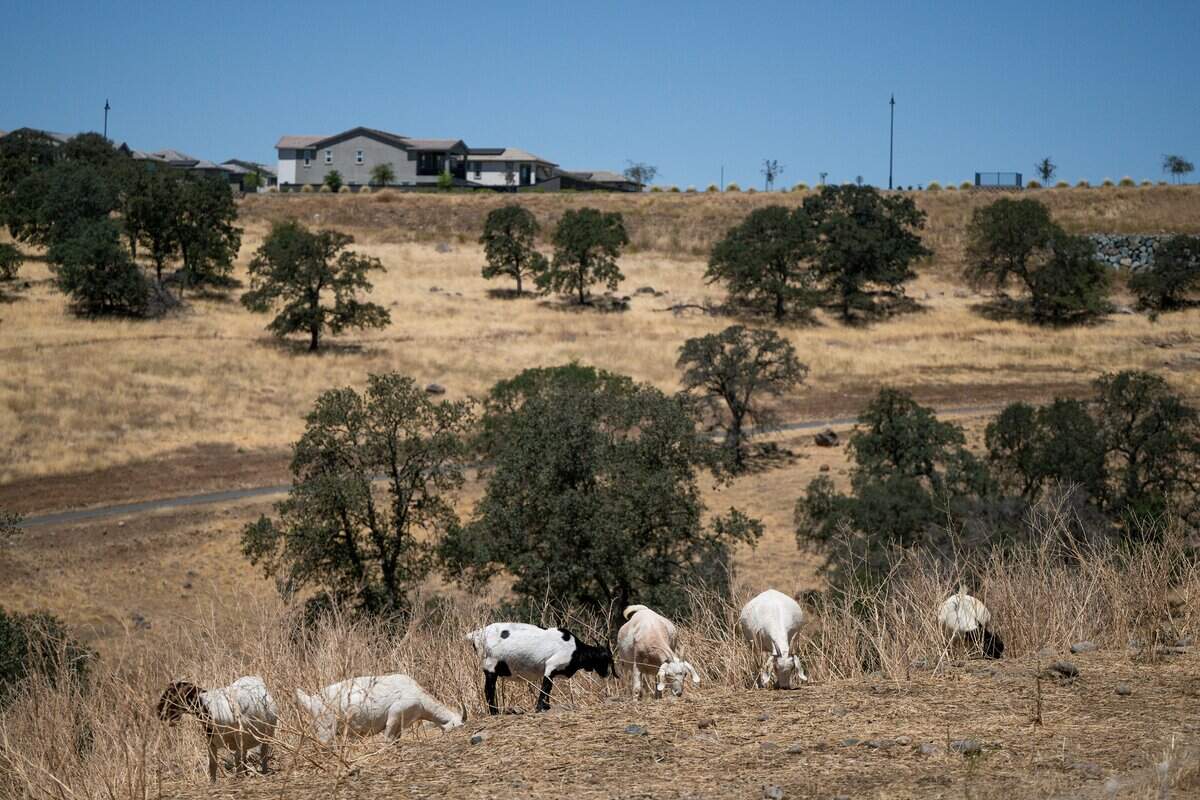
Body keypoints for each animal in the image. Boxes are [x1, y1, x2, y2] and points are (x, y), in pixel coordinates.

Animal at [466, 622, 616, 714]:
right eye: (605, 659)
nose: (606, 674)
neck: (576, 649)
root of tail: (477, 634)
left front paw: (547, 707)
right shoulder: (551, 666)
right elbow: (546, 688)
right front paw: (540, 708)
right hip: (491, 666)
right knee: (489, 690)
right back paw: (495, 713)